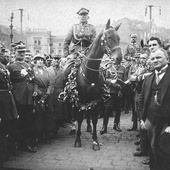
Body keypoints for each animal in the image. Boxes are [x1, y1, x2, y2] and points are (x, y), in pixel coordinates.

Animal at [60, 19, 121, 151]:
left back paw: (87, 127)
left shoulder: (96, 99)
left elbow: (94, 119)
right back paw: (73, 128)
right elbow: (78, 117)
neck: (90, 73)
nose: (119, 58)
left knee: (87, 113)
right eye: (109, 37)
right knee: (74, 113)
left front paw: (95, 140)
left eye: (118, 38)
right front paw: (78, 139)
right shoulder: (79, 98)